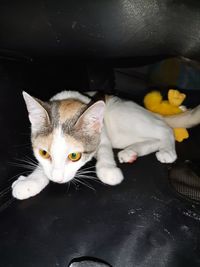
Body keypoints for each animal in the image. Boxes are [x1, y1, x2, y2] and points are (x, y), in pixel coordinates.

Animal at [11, 91, 200, 200]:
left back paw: (167, 150)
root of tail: (151, 112)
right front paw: (30, 182)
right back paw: (131, 152)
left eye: (74, 156)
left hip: (123, 116)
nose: (57, 179)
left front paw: (108, 171)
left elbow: (105, 152)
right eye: (44, 153)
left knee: (164, 129)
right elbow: (42, 168)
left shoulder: (102, 135)